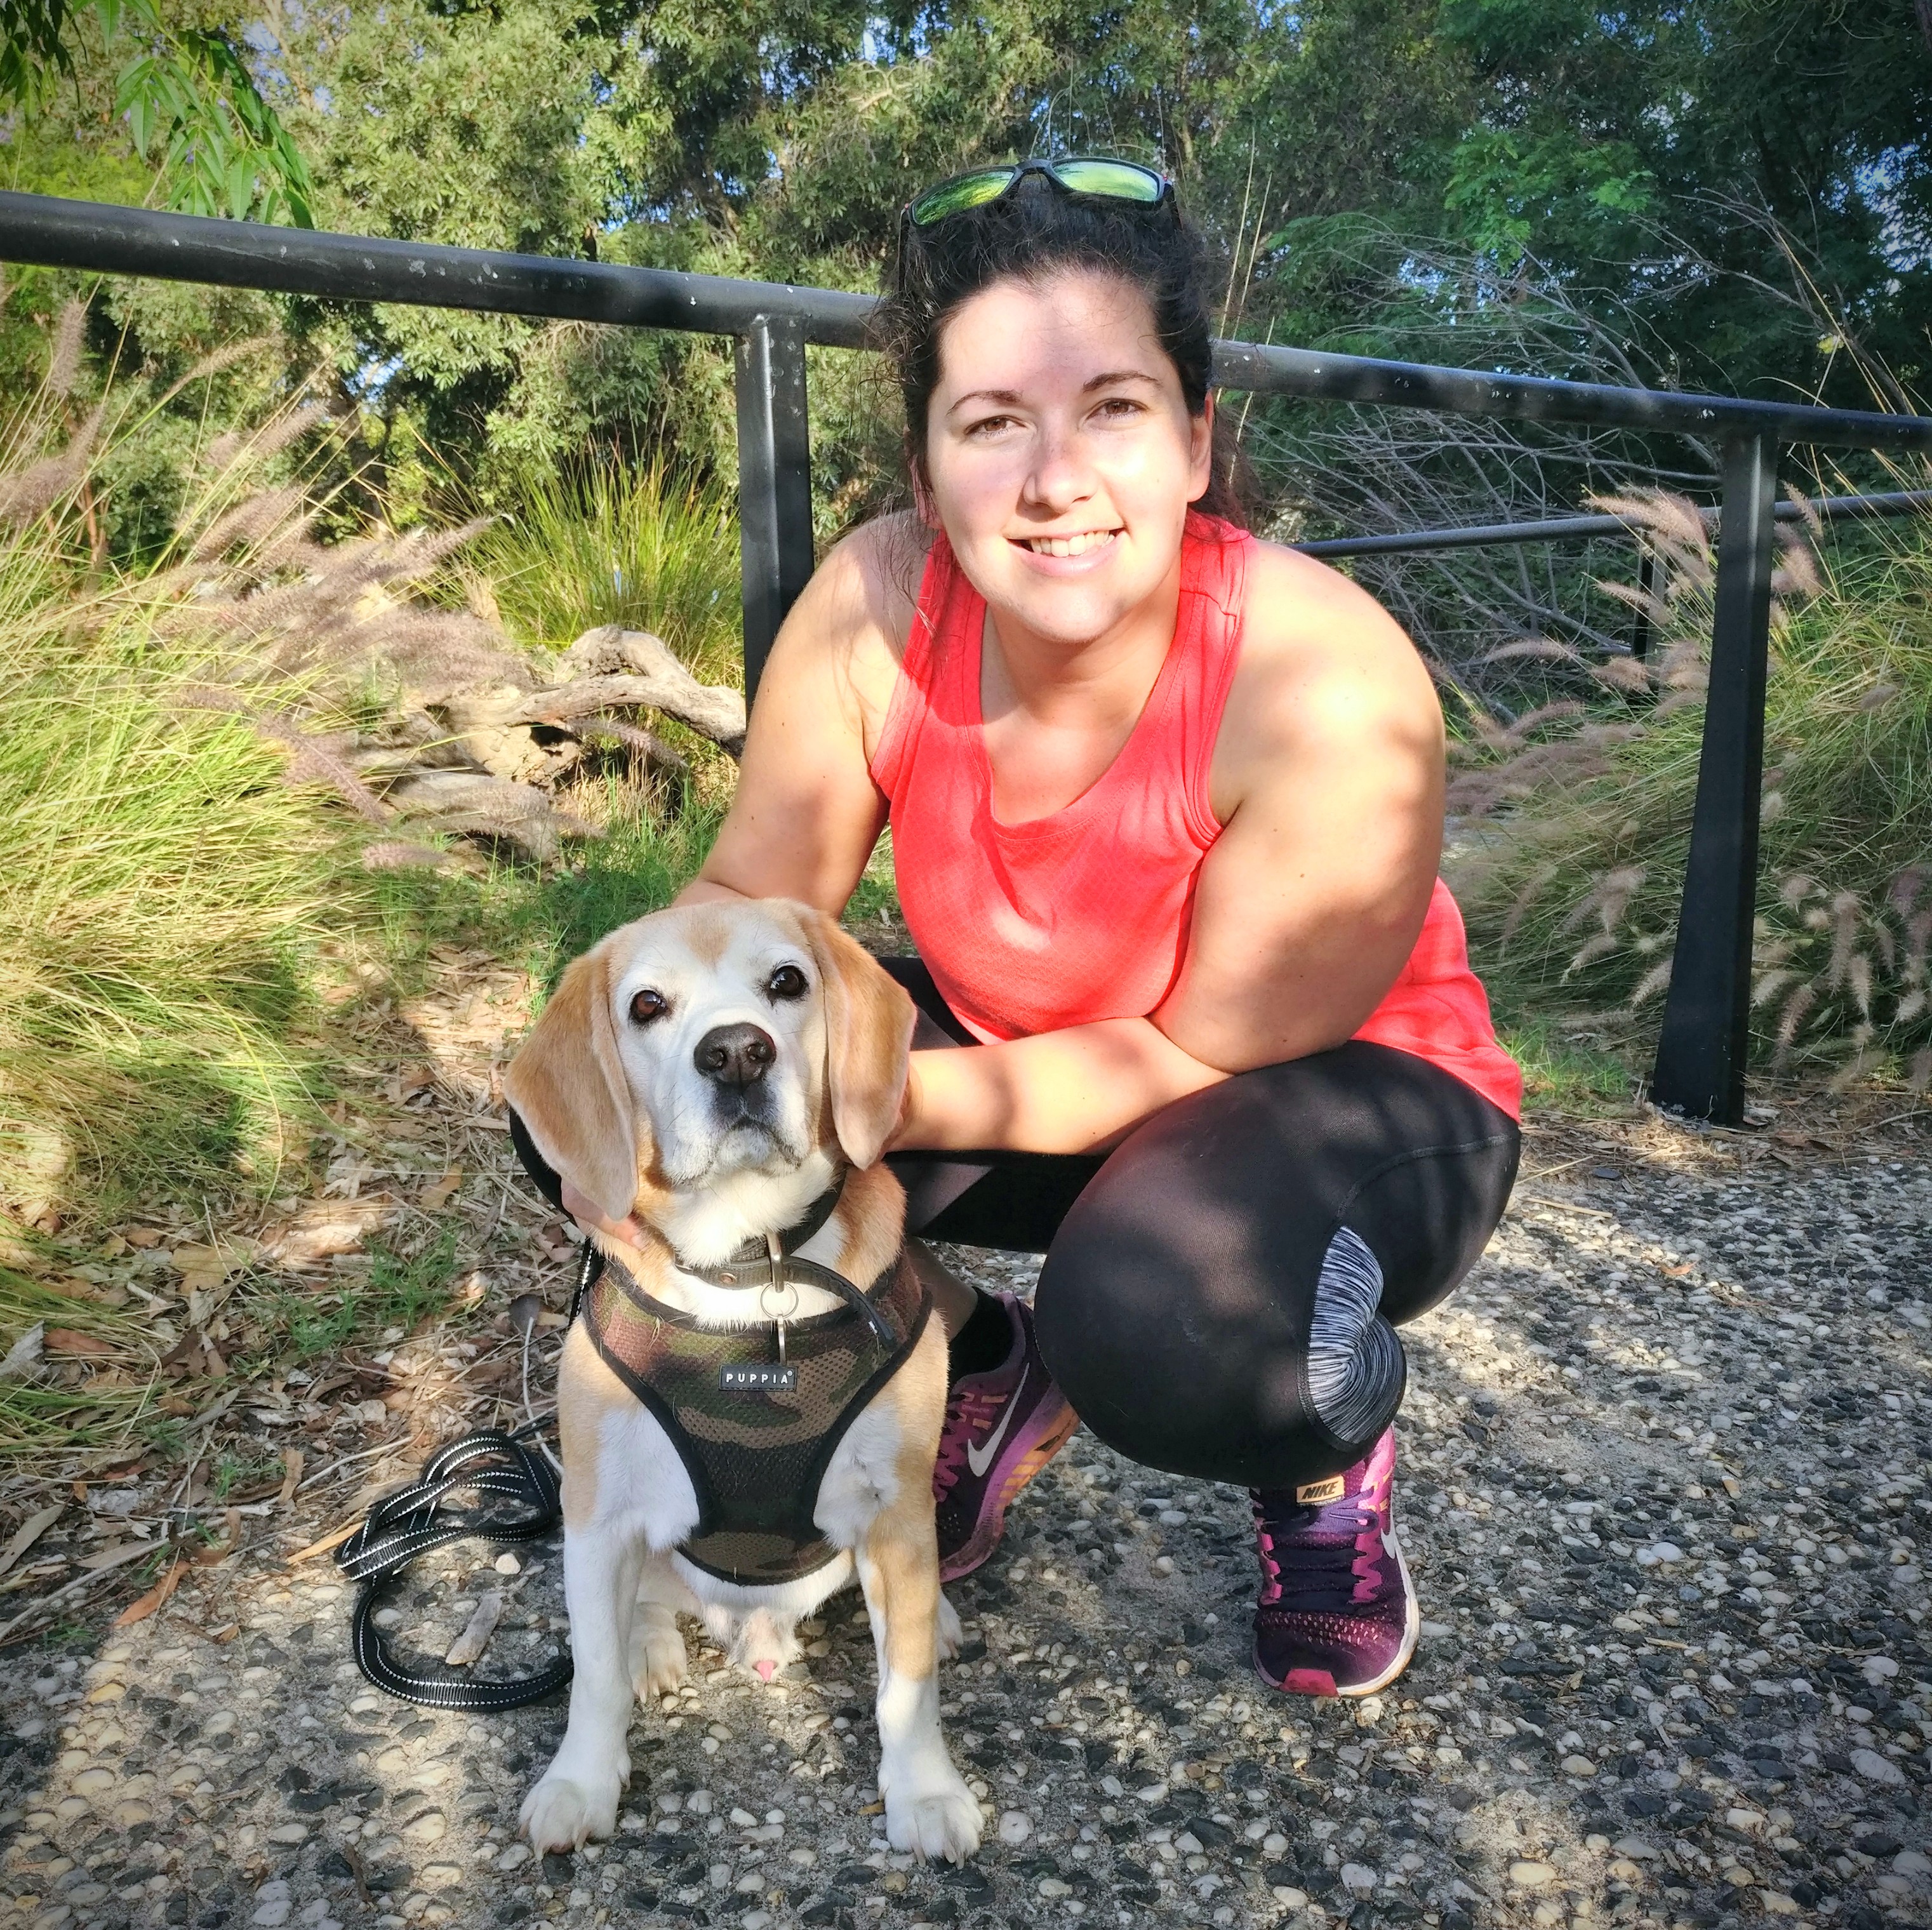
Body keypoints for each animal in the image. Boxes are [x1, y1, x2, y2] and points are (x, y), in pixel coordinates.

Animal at [502, 904, 981, 1870]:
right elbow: (593, 1674)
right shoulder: (596, 1517)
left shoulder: (895, 1510)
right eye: (646, 1004)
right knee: (643, 1608)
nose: (734, 1053)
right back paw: (651, 1648)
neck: (750, 1266)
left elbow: (905, 1688)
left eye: (787, 982)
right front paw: (580, 1782)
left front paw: (925, 1790)